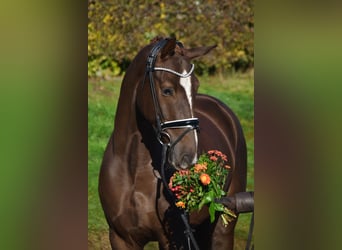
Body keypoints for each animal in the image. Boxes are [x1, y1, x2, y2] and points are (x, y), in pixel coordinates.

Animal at [98, 36, 246, 249]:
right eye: (167, 90)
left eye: (196, 87)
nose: (188, 156)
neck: (134, 170)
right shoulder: (120, 238)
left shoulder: (173, 240)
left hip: (223, 228)